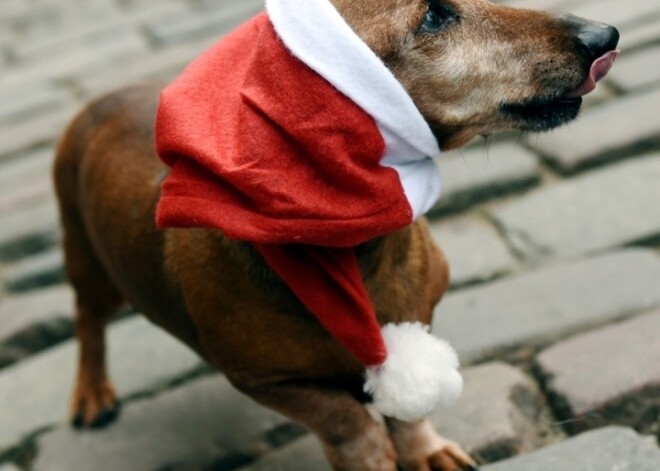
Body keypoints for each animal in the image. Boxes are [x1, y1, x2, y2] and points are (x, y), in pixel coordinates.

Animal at [52, 0, 620, 471]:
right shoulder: (268, 379)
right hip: (89, 265)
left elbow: (405, 409)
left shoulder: (420, 315)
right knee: (87, 323)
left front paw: (425, 452)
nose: (605, 35)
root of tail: (101, 98)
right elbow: (346, 421)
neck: (356, 252)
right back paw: (91, 395)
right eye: (434, 15)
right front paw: (370, 456)